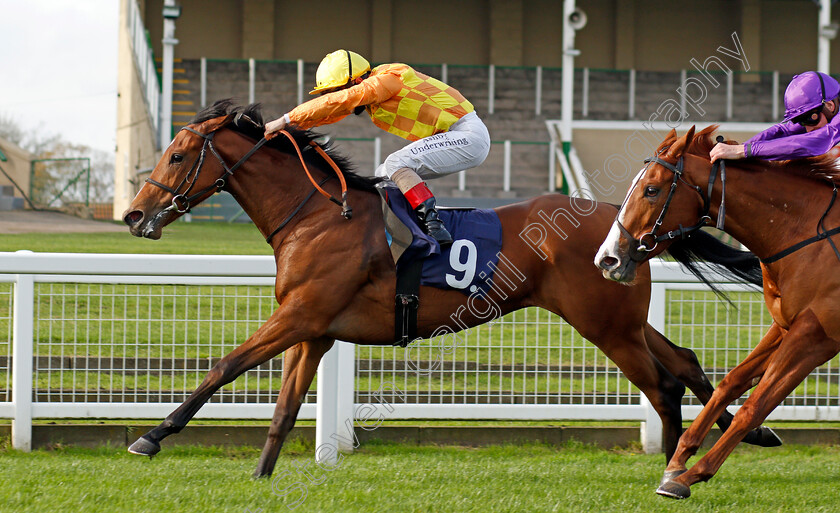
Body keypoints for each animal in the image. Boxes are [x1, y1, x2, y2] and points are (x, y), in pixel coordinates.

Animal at [123, 100, 780, 476]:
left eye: (177, 154)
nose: (134, 215)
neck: (316, 214)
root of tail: (628, 224)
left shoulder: (300, 317)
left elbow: (224, 367)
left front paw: (151, 438)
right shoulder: (314, 331)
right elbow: (284, 409)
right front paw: (262, 476)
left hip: (605, 325)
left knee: (664, 385)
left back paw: (673, 462)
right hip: (622, 318)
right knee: (684, 361)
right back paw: (752, 432)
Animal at [592, 123, 840, 496]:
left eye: (651, 190)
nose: (608, 259)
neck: (806, 234)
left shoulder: (816, 337)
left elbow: (755, 405)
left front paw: (691, 475)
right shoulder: (786, 325)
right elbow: (730, 383)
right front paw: (677, 461)